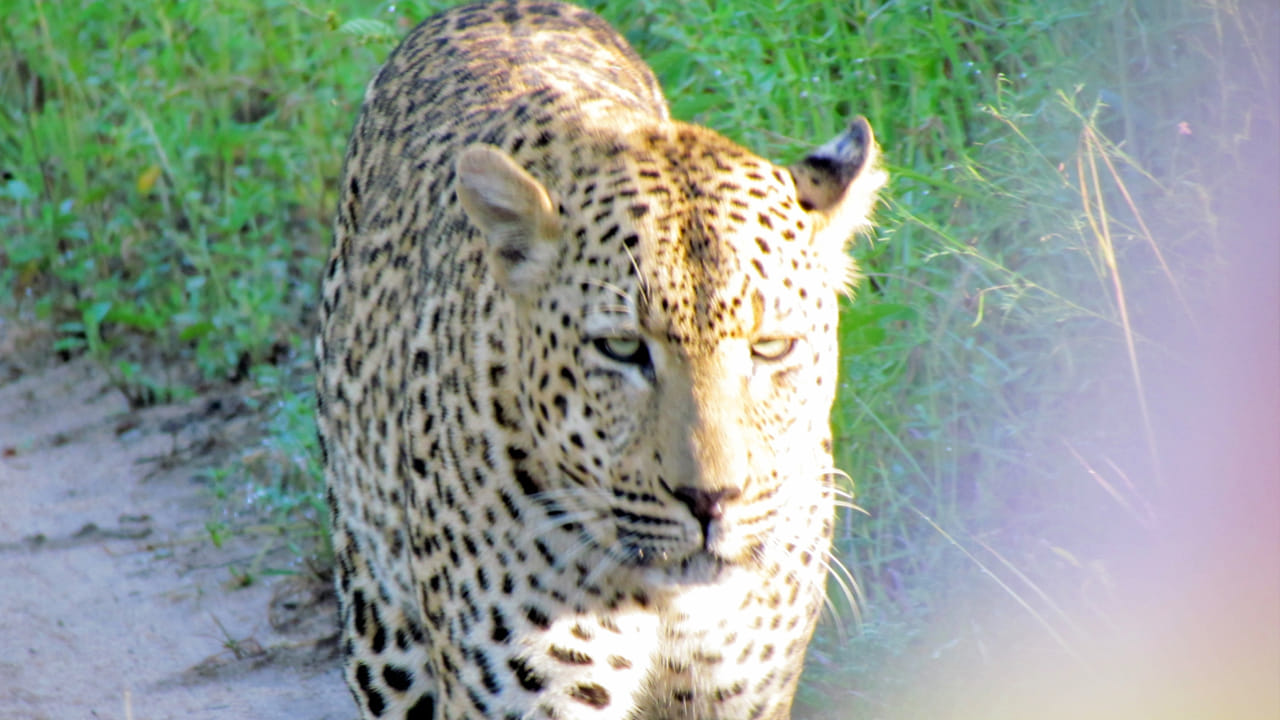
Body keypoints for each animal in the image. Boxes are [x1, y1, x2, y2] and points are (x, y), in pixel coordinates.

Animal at [314, 1, 885, 718]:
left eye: (770, 347)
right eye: (621, 348)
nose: (710, 501)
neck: (672, 609)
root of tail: (486, 8)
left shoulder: (744, 692)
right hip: (379, 622)